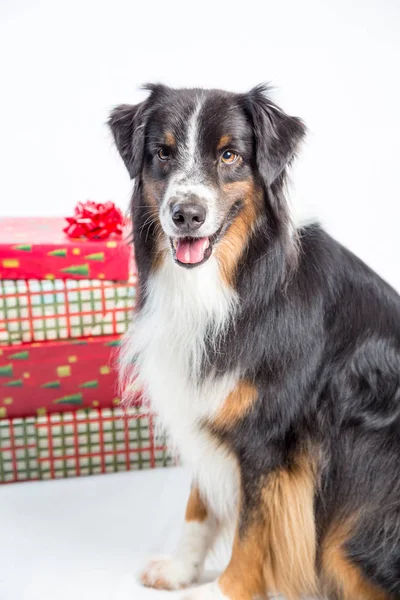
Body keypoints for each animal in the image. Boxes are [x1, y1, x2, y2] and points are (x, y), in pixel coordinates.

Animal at [108, 84, 400, 600]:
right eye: (162, 153)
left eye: (230, 155)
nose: (187, 214)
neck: (230, 282)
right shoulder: (210, 396)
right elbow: (199, 504)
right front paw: (181, 569)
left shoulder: (271, 442)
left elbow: (252, 534)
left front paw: (217, 592)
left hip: (357, 506)